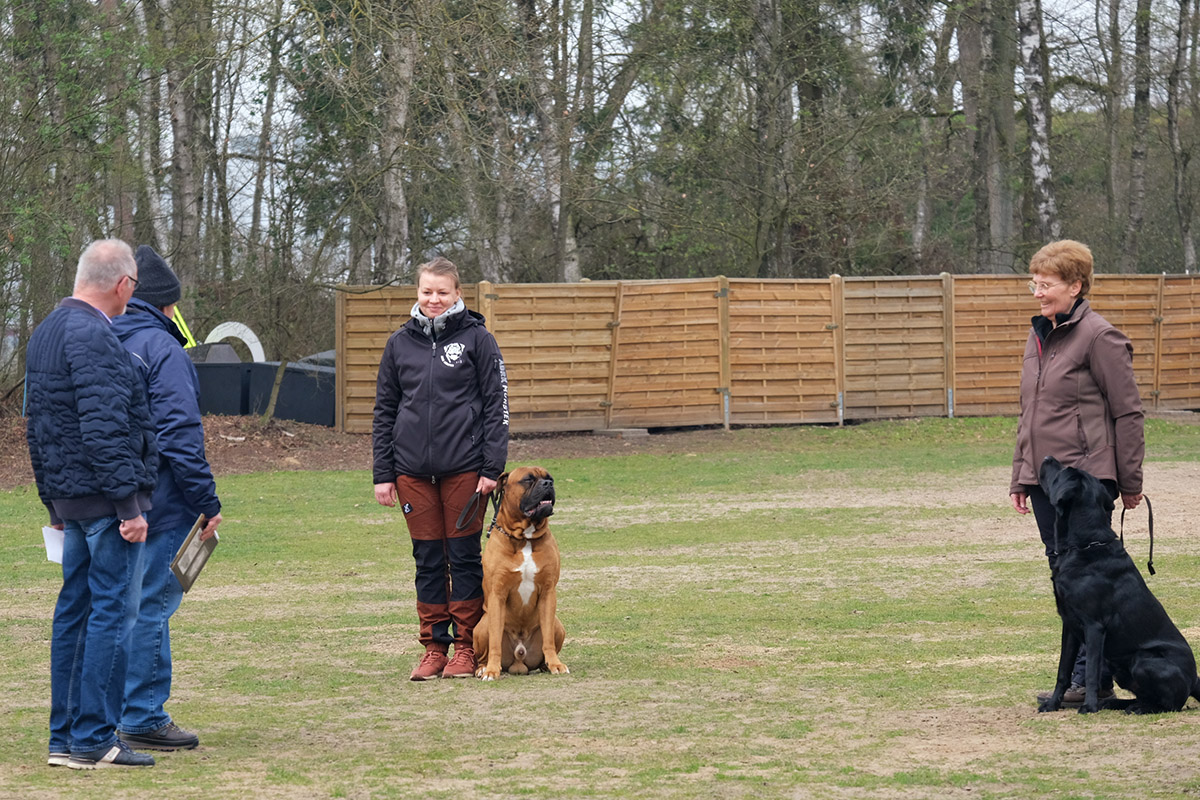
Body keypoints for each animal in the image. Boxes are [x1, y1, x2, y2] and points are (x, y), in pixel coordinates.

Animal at [475, 465, 568, 681]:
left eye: (550, 478)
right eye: (528, 480)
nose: (548, 484)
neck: (524, 538)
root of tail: (519, 657)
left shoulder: (548, 592)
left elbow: (548, 640)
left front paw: (555, 664)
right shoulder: (497, 594)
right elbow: (494, 643)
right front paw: (492, 670)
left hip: (558, 625)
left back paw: (546, 665)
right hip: (481, 626)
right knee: (484, 653)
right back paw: (483, 668)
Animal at [1032, 455, 1200, 714]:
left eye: (1064, 470)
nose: (1048, 457)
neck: (1085, 545)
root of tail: (1195, 680)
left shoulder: (1094, 626)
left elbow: (1091, 671)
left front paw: (1089, 707)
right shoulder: (1069, 625)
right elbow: (1063, 671)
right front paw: (1052, 704)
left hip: (1144, 659)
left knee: (1172, 704)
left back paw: (1135, 708)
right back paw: (1118, 703)